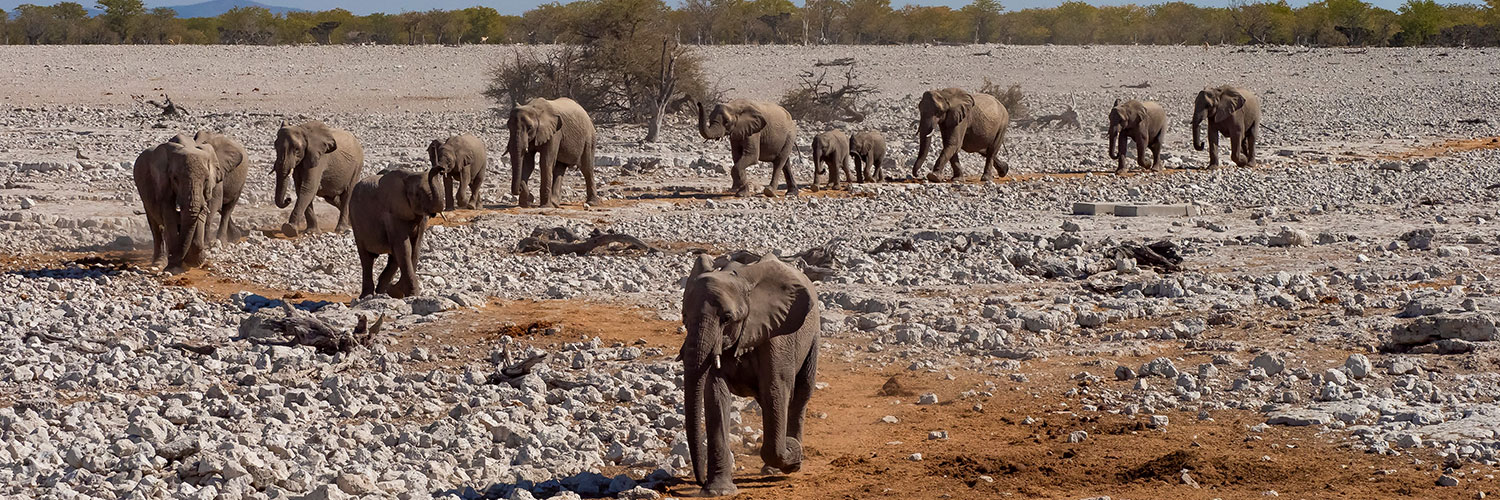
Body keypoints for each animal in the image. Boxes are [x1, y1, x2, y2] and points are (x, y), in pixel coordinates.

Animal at [133, 134, 219, 274]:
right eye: (175, 178)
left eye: (206, 179)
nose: (175, 260)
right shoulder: (163, 186)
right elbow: (169, 218)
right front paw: (174, 266)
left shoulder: (206, 192)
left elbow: (200, 217)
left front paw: (193, 262)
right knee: (157, 227)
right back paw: (159, 262)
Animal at [349, 167, 444, 300]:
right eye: (417, 195)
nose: (442, 169)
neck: (409, 175)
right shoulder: (392, 213)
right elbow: (405, 248)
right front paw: (410, 294)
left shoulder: (421, 219)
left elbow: (415, 248)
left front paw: (397, 291)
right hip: (356, 223)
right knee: (367, 258)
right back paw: (367, 296)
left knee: (393, 257)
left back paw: (382, 291)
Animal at [684, 253, 822, 495]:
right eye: (684, 317)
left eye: (727, 318)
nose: (699, 481)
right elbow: (716, 395)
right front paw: (717, 491)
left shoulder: (777, 338)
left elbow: (776, 389)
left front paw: (792, 451)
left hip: (812, 335)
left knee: (800, 395)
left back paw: (789, 458)